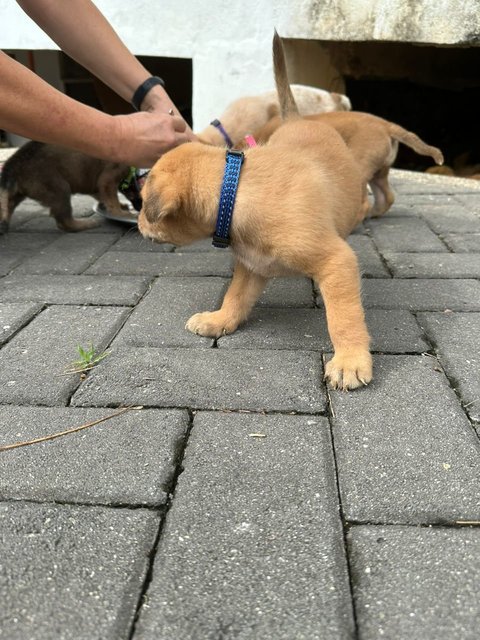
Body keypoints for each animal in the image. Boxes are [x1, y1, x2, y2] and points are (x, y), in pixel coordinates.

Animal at [0, 141, 129, 234]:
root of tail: (13, 163)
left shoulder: (97, 186)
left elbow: (104, 197)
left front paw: (121, 206)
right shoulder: (107, 180)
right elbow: (112, 199)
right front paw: (120, 213)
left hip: (18, 192)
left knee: (8, 204)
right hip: (59, 188)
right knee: (64, 221)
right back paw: (84, 224)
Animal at [138, 117, 372, 388]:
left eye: (142, 203)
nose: (138, 223)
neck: (233, 190)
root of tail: (303, 119)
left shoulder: (336, 260)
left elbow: (343, 318)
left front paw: (349, 362)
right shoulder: (252, 264)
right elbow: (235, 296)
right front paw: (219, 320)